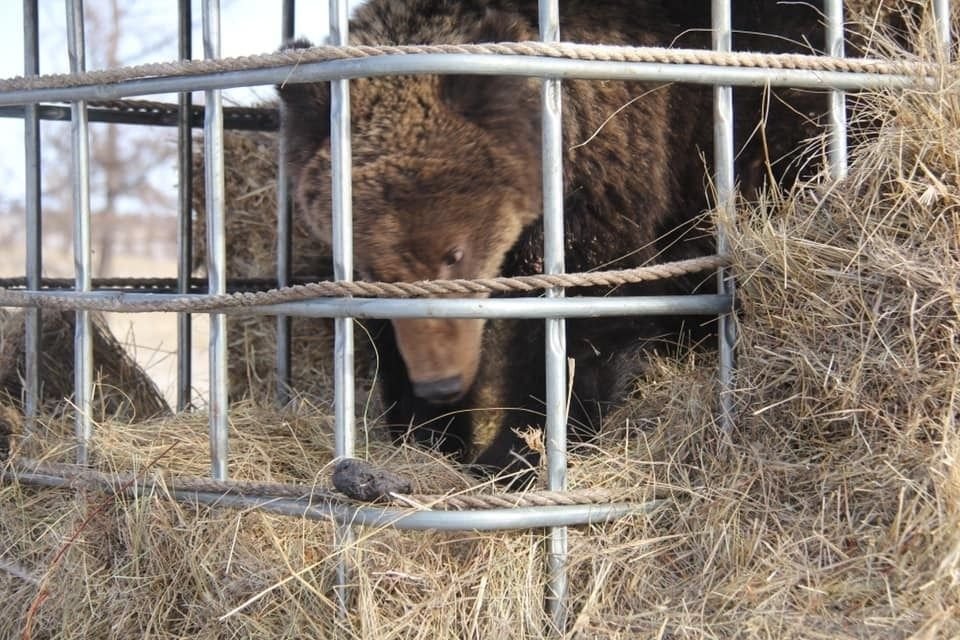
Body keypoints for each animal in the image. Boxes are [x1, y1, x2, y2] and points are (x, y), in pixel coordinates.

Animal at [276, 1, 824, 480]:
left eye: (455, 252)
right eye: (371, 265)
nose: (441, 382)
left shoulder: (606, 166)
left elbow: (586, 317)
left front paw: (515, 451)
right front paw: (426, 432)